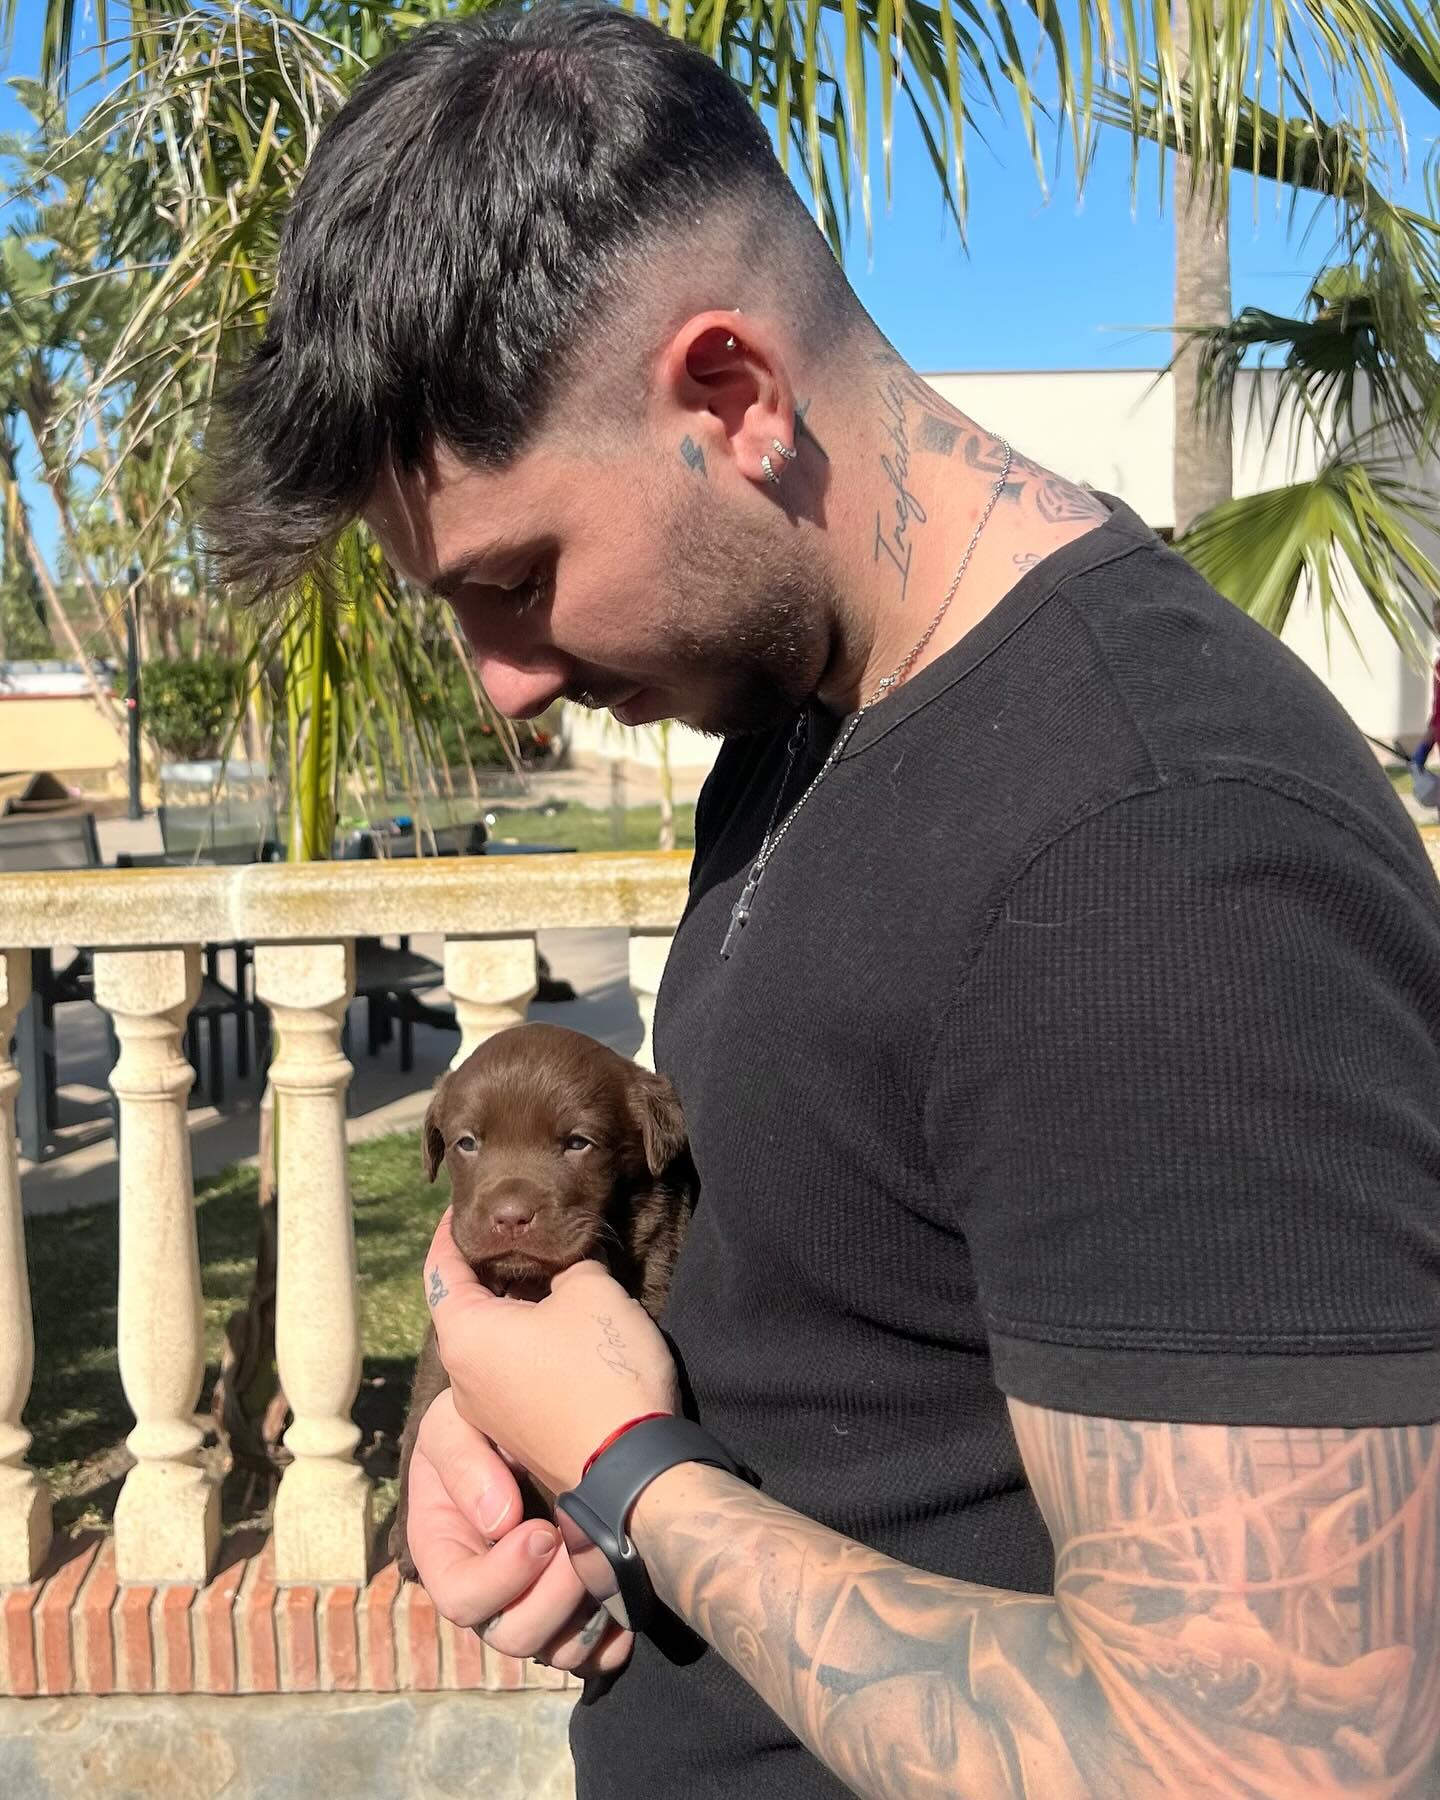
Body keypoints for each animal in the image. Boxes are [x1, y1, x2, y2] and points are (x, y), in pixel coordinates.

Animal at [388, 1022, 691, 1584]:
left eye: (578, 1143)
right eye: (467, 1143)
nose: (510, 1216)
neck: (529, 1284)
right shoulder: (442, 1339)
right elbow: (423, 1407)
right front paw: (407, 1534)